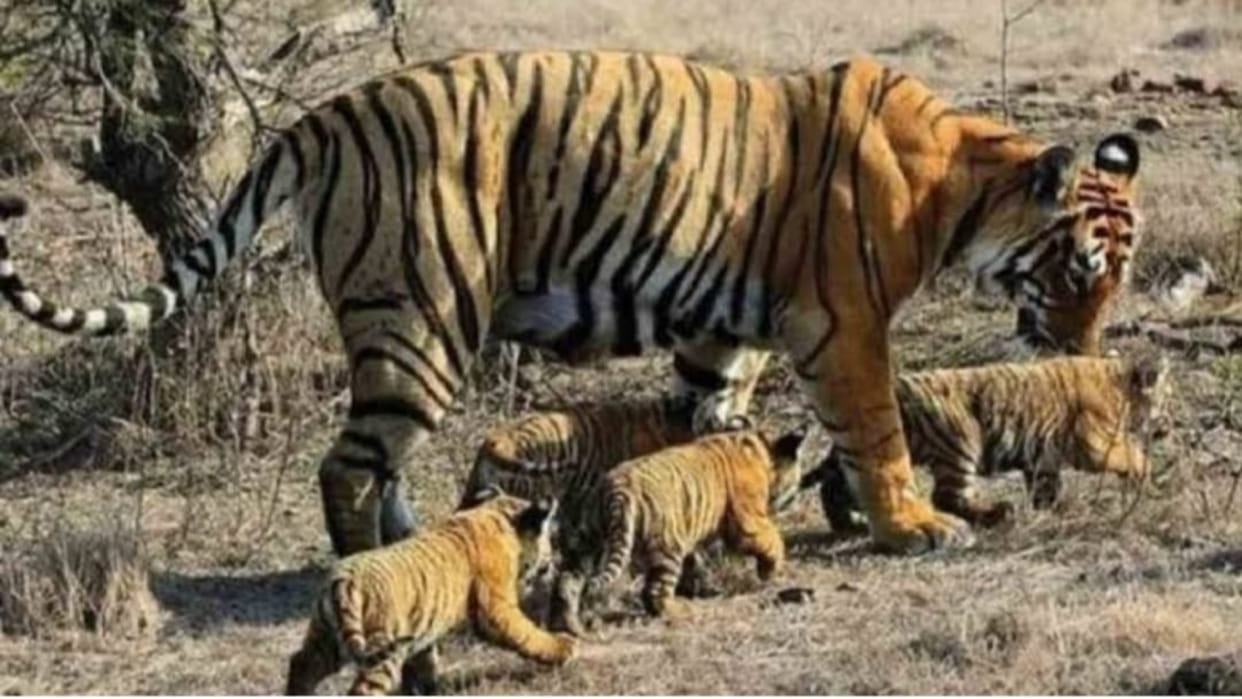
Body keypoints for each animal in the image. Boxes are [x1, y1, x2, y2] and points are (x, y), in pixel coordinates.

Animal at [285, 488, 574, 696]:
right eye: (549, 541)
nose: (553, 564)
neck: (497, 515)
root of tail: (343, 580)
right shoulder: (495, 608)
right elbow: (528, 634)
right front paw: (565, 646)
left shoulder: (424, 631)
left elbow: (425, 662)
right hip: (381, 650)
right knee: (362, 689)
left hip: (326, 639)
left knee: (300, 664)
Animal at [577, 427, 809, 626]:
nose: (798, 496)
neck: (763, 454)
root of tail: (619, 489)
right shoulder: (748, 520)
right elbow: (773, 539)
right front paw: (770, 572)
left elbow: (694, 562)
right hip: (668, 546)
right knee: (655, 591)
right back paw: (681, 611)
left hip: (591, 536)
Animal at [804, 353, 1172, 533]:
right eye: (1170, 397)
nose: (1171, 426)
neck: (1120, 383)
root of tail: (896, 389)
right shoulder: (1093, 442)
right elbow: (1130, 453)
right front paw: (1145, 474)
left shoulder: (1044, 456)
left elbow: (1045, 486)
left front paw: (1054, 509)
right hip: (960, 442)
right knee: (947, 497)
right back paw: (997, 513)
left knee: (838, 485)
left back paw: (848, 525)